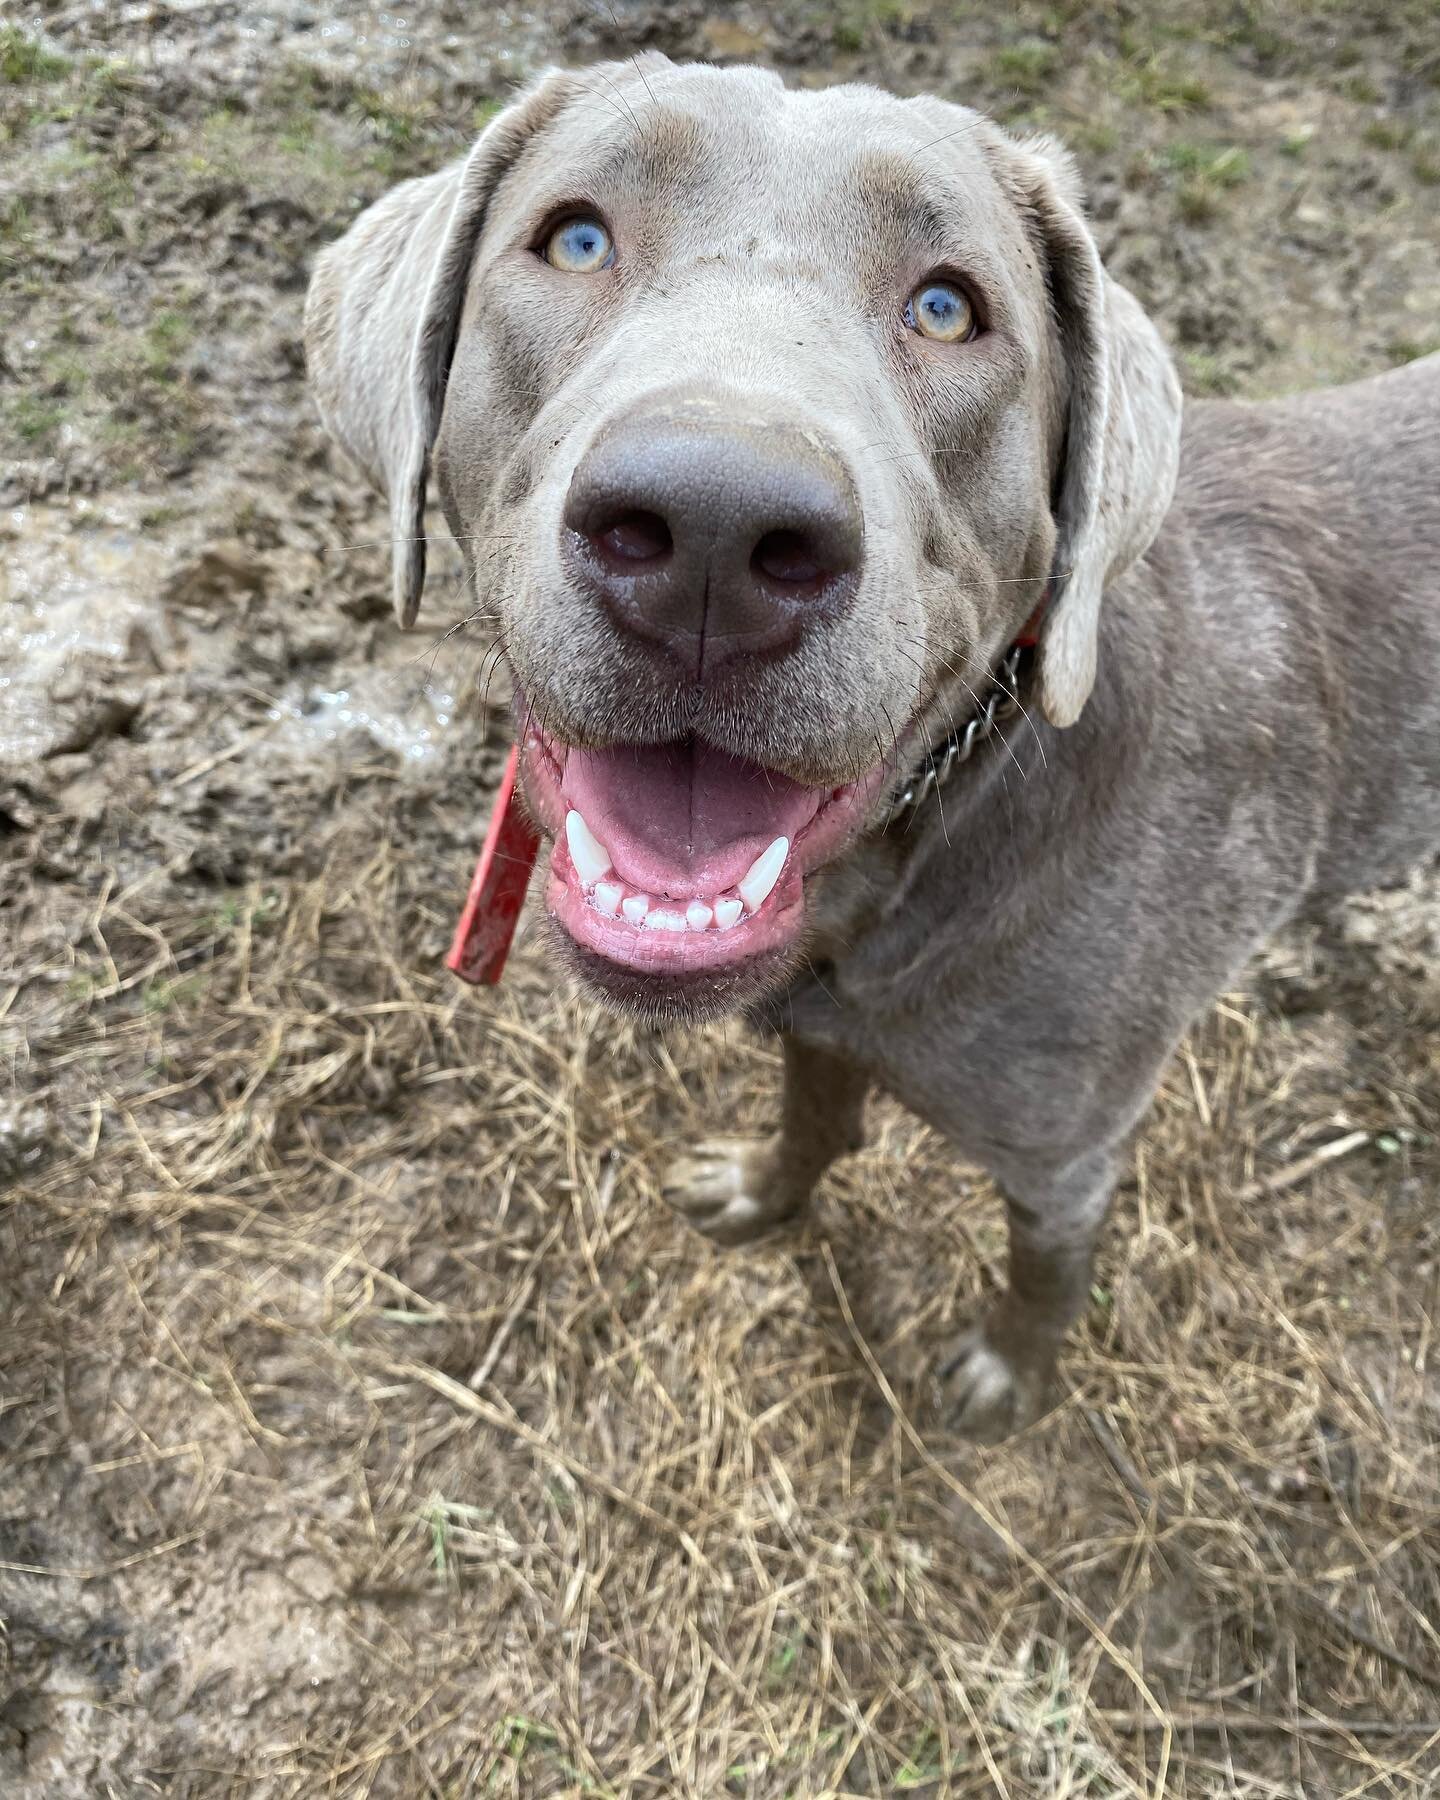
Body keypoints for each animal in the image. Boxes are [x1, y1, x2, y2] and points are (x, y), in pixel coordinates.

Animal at [309, 49, 1440, 1440]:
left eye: (949, 310)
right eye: (575, 238)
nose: (712, 530)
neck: (934, 832)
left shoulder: (1066, 1157)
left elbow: (1044, 1268)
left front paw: (1005, 1375)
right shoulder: (818, 1016)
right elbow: (812, 1117)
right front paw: (763, 1191)